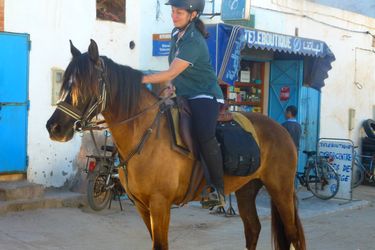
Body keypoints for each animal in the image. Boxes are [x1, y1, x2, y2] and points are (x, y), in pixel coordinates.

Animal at [46, 40, 306, 249]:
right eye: (65, 83)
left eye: (84, 85)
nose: (54, 128)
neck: (145, 134)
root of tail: (281, 129)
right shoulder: (142, 205)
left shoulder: (160, 204)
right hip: (247, 189)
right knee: (253, 229)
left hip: (280, 189)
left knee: (293, 234)